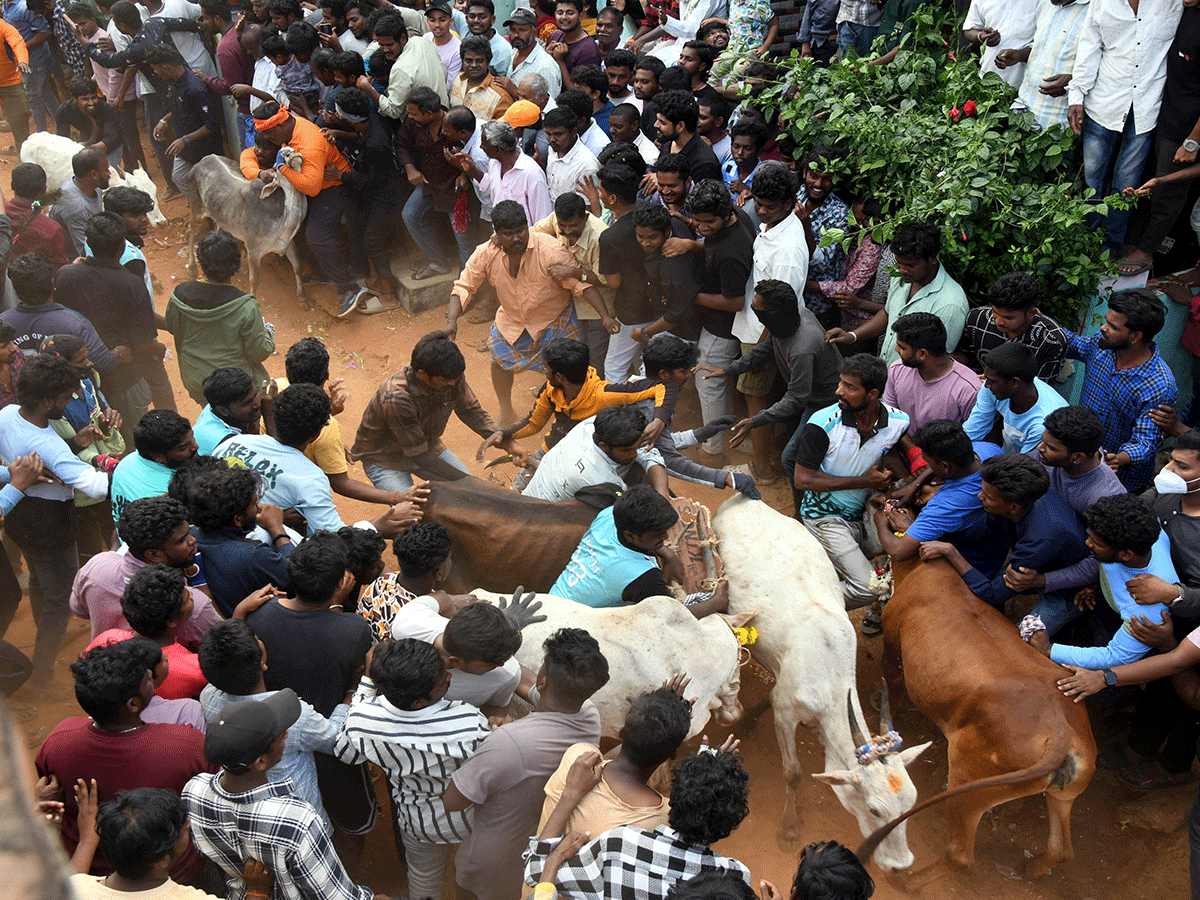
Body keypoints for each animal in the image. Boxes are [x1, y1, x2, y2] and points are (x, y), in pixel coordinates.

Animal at [710, 496, 926, 878]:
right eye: (875, 809)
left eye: (911, 802)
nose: (900, 865)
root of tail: (740, 498)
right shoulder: (786, 712)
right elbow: (793, 772)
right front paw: (788, 830)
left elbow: (772, 696)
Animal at [864, 556, 1099, 873]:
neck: (919, 567)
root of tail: (1060, 733)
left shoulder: (892, 642)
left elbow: (893, 689)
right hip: (1063, 795)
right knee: (1061, 850)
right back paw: (1033, 867)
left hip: (967, 778)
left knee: (959, 854)